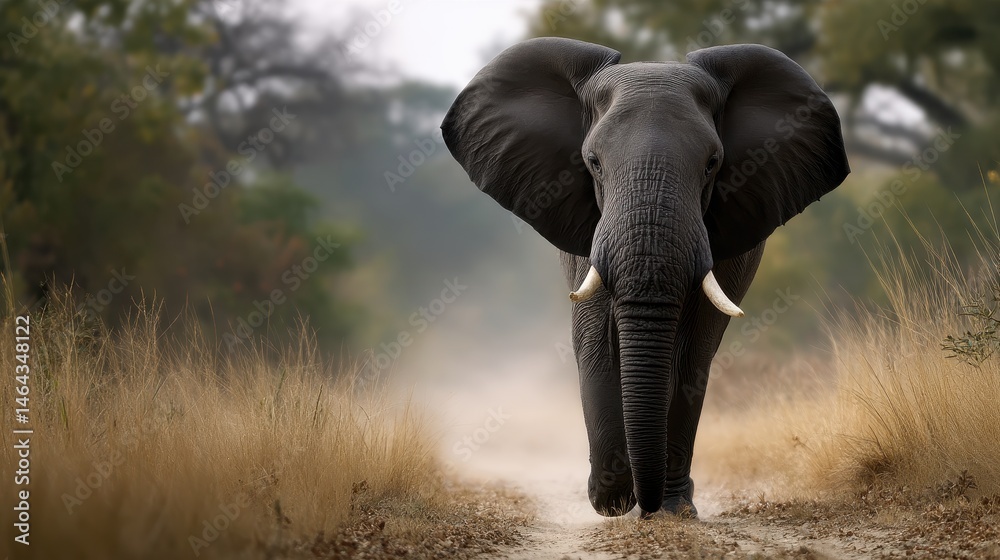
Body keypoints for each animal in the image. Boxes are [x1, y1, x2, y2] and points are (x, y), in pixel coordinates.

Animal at [441, 37, 849, 518]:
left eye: (712, 163)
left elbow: (693, 351)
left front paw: (669, 509)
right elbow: (595, 337)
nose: (639, 500)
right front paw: (613, 499)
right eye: (593, 162)